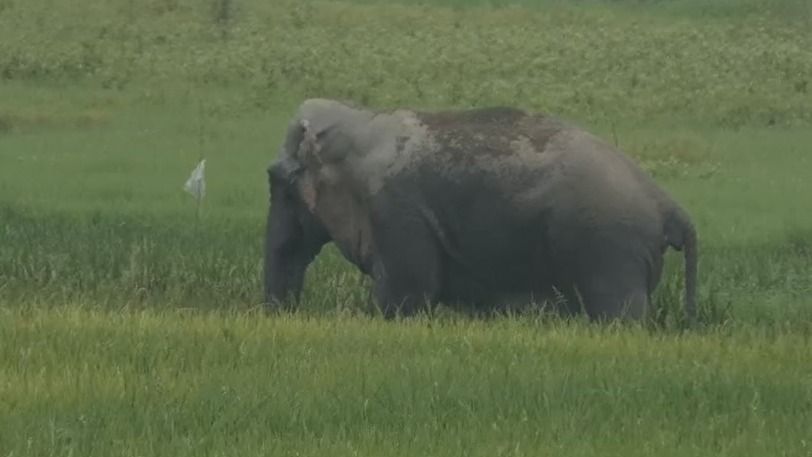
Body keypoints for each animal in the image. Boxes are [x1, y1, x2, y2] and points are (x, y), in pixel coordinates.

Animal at [263, 98, 698, 322]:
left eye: (277, 181)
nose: (281, 314)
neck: (360, 119)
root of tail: (667, 204)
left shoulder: (397, 213)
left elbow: (407, 292)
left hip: (612, 250)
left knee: (619, 315)